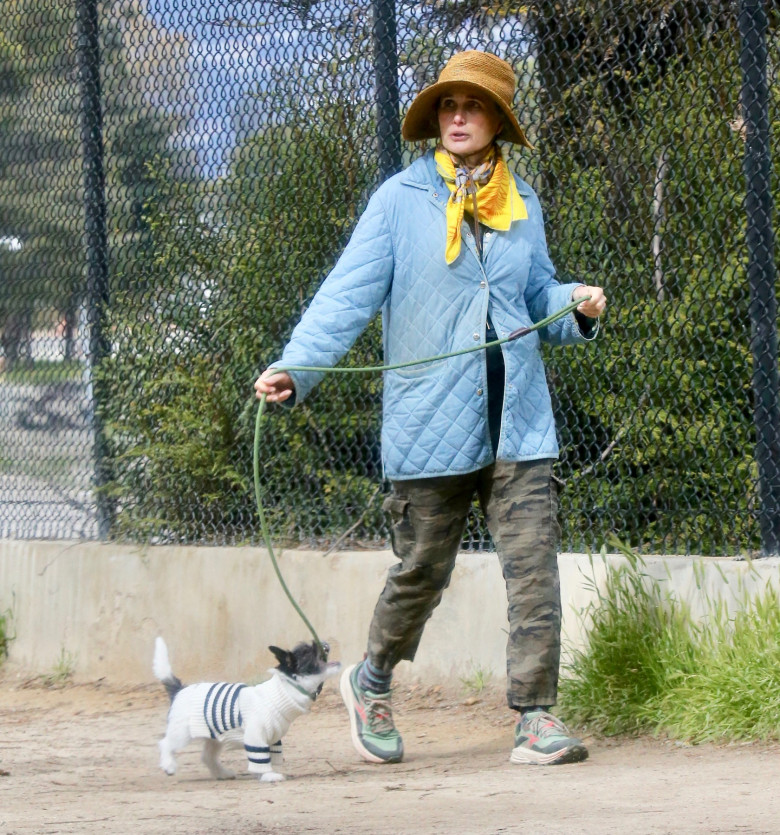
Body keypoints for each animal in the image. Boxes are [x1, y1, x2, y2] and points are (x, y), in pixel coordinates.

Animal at [154, 640, 340, 784]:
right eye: (308, 651)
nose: (324, 643)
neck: (285, 690)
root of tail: (179, 690)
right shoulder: (255, 736)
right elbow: (259, 757)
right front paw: (268, 775)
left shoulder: (274, 740)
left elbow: (268, 756)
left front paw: (266, 773)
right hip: (182, 733)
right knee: (166, 743)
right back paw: (169, 765)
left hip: (214, 738)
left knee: (207, 757)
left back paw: (222, 773)